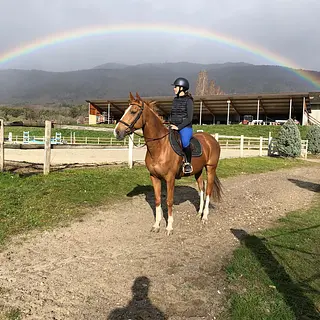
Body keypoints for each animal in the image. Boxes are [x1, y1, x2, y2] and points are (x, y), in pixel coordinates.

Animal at [115, 92, 222, 235]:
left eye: (133, 111)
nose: (117, 131)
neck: (160, 146)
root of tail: (212, 139)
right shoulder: (154, 177)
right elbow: (157, 200)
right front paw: (156, 225)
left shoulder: (170, 178)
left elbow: (169, 201)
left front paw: (169, 227)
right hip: (198, 171)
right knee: (201, 188)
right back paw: (199, 213)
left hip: (211, 168)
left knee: (209, 190)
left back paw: (204, 216)